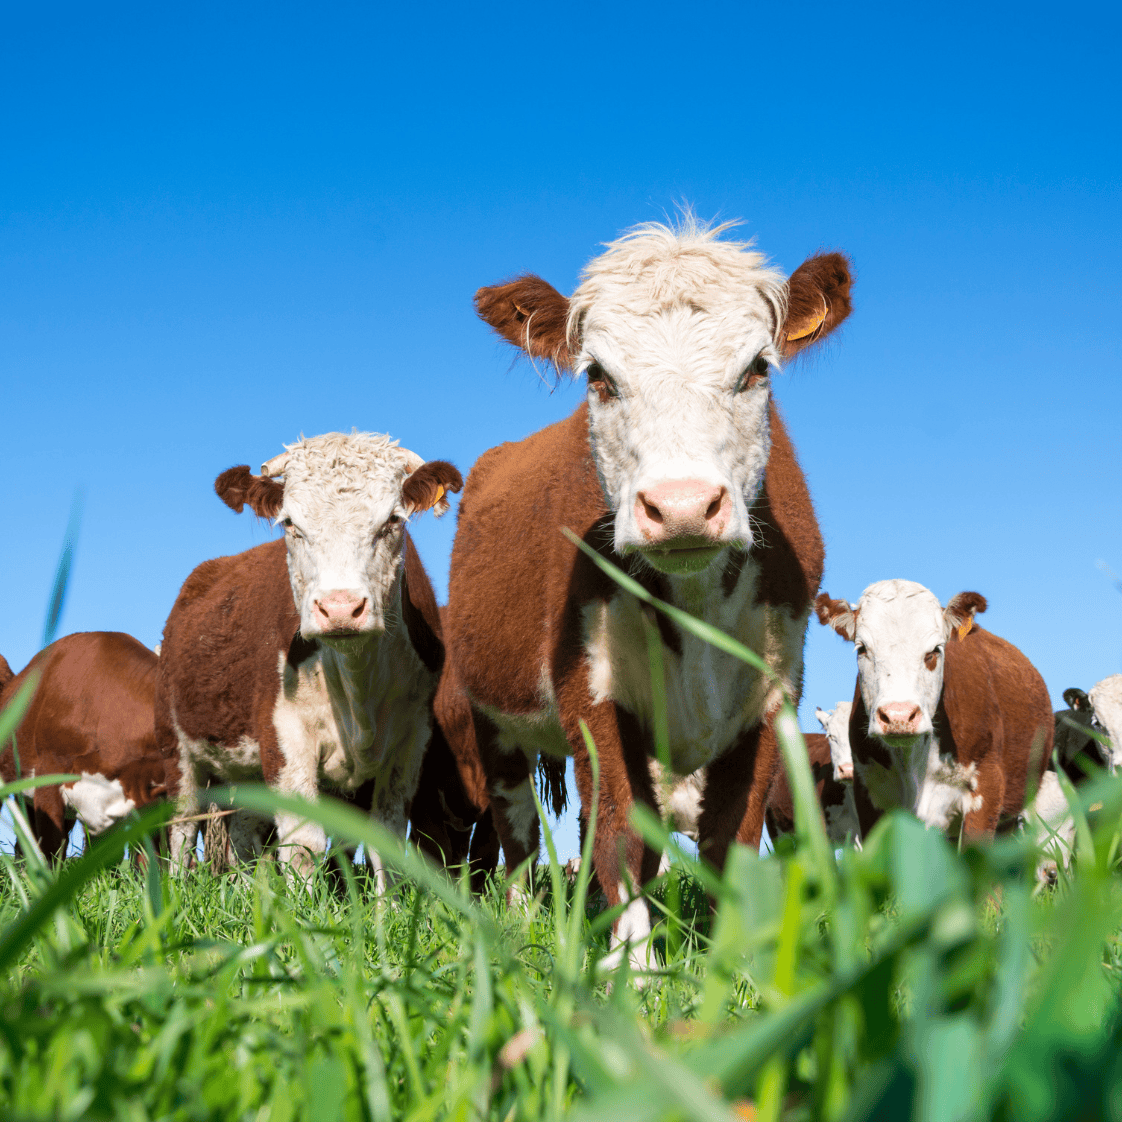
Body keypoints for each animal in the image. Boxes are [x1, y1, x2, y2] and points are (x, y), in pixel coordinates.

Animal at [155, 431, 463, 881]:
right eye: (290, 524)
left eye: (393, 520)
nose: (340, 607)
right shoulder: (285, 736)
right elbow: (303, 847)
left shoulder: (412, 741)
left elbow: (384, 845)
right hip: (176, 747)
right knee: (182, 825)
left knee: (242, 833)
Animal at [444, 216, 853, 969]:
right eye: (599, 377)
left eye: (756, 369)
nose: (683, 505)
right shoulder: (590, 690)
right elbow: (620, 834)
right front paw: (631, 970)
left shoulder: (772, 693)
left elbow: (730, 839)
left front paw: (728, 968)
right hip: (491, 714)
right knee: (516, 830)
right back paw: (522, 923)